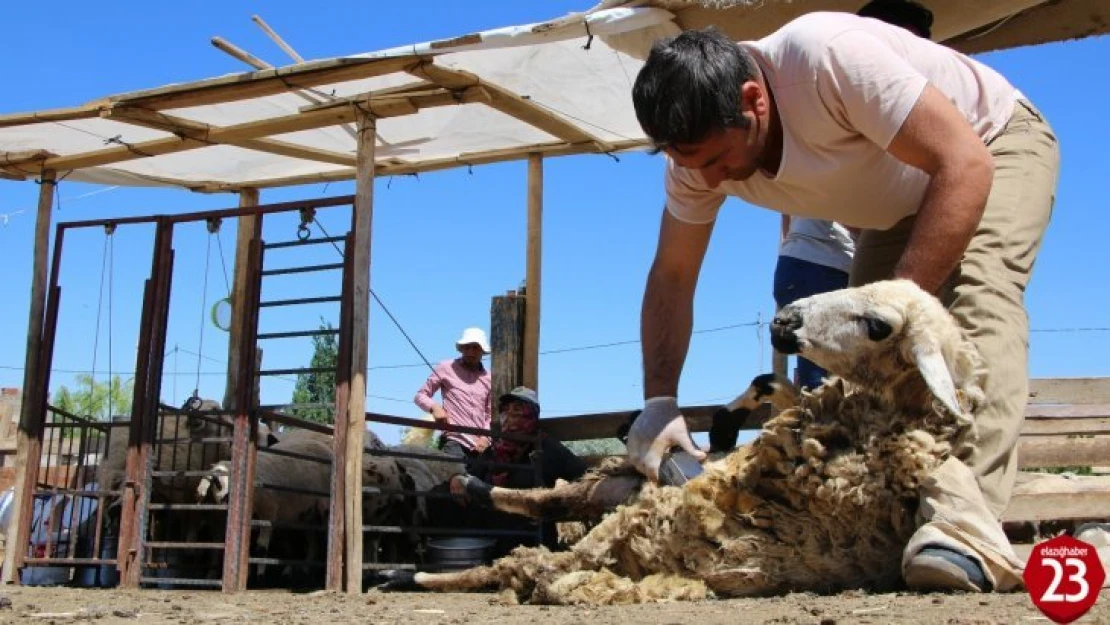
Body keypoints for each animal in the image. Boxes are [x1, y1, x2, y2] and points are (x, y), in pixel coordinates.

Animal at [377, 281, 1016, 608]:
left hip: (618, 512)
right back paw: (468, 491)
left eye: (878, 325)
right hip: (615, 486)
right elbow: (768, 395)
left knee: (527, 558)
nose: (784, 319)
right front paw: (734, 413)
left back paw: (417, 572)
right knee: (545, 502)